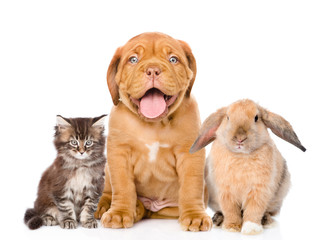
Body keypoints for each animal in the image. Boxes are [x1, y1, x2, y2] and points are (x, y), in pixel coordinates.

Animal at [94, 31, 212, 231]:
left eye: (173, 59)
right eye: (133, 59)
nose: (153, 70)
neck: (154, 124)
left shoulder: (190, 154)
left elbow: (191, 186)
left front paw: (195, 216)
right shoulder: (119, 153)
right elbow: (123, 186)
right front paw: (119, 213)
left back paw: (139, 209)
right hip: (108, 169)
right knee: (110, 189)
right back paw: (109, 206)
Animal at [190, 99, 306, 234]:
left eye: (256, 118)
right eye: (228, 117)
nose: (240, 138)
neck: (241, 155)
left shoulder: (258, 191)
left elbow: (254, 210)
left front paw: (251, 229)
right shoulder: (226, 192)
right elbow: (231, 210)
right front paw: (231, 227)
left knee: (269, 212)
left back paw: (265, 221)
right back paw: (218, 219)